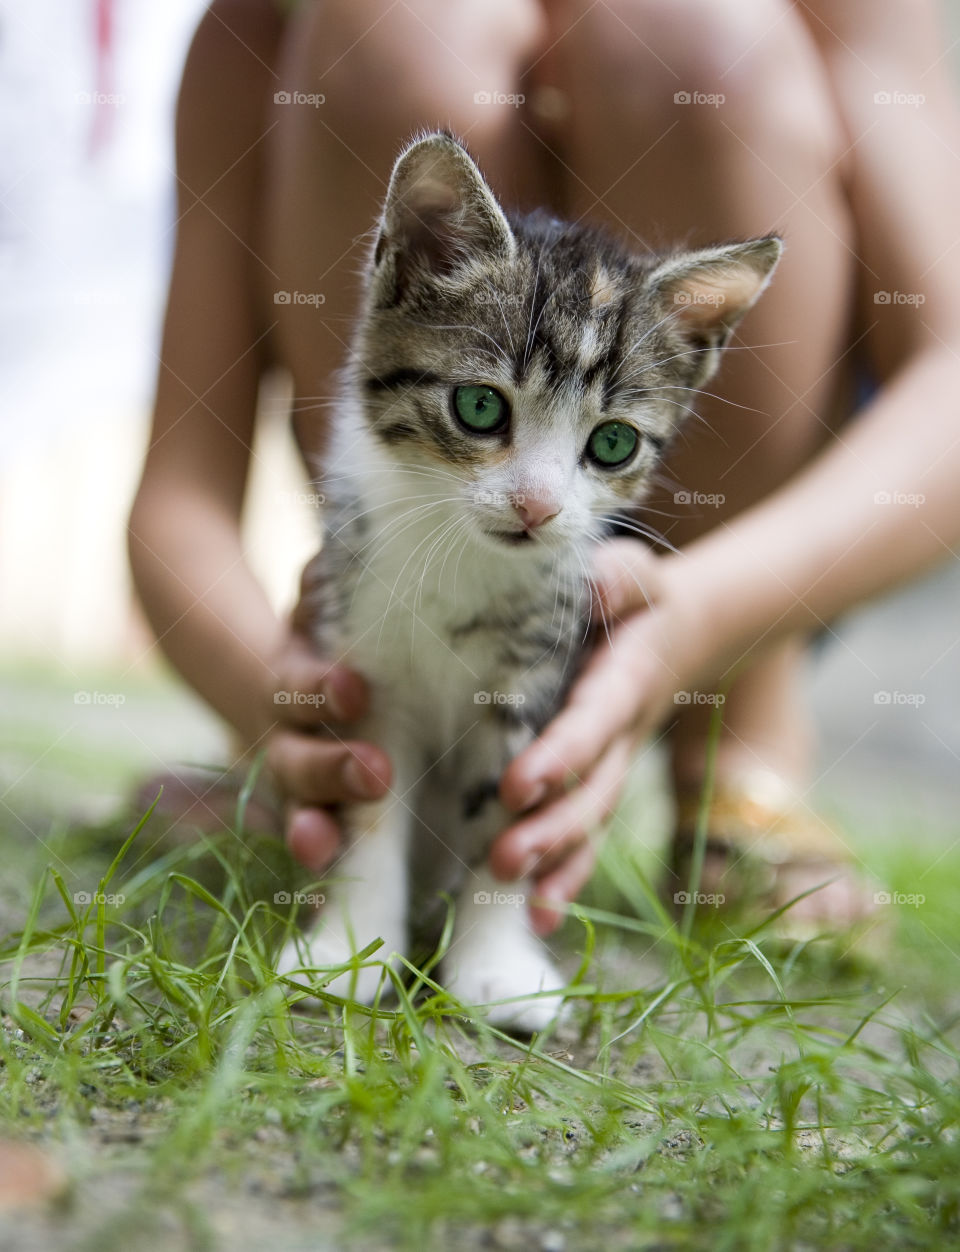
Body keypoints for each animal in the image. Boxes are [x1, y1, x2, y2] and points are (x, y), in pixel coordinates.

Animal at [277, 132, 781, 1031]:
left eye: (612, 444)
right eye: (480, 408)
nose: (537, 507)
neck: (459, 557)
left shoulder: (541, 680)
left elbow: (512, 821)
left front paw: (497, 970)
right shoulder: (361, 659)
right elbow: (367, 808)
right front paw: (350, 953)